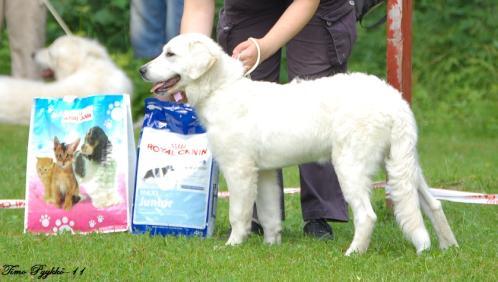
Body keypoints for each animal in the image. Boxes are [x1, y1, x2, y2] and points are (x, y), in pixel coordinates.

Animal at [138, 33, 458, 256]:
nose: (142, 70)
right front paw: (271, 246)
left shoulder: (239, 170)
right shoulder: (265, 172)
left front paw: (232, 246)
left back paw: (353, 253)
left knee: (367, 215)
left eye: (170, 53)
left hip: (350, 166)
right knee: (433, 204)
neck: (220, 89)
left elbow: (238, 214)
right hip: (404, 164)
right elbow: (269, 214)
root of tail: (394, 100)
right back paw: (446, 247)